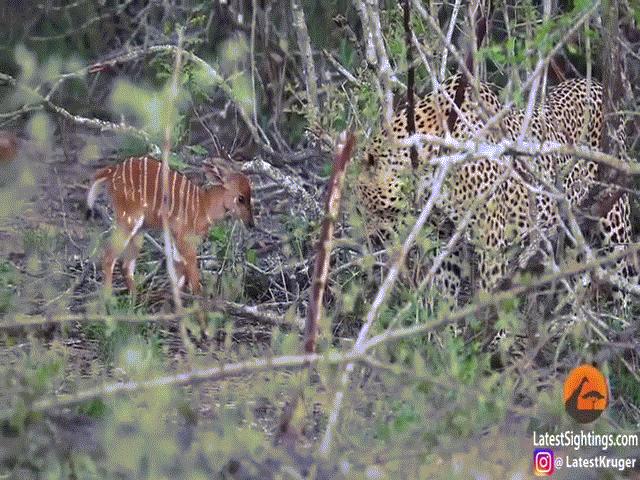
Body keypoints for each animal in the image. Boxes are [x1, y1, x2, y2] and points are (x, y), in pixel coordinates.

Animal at [85, 157, 255, 292]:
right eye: (241, 198)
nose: (251, 224)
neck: (203, 205)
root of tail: (112, 171)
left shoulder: (175, 236)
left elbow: (178, 269)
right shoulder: (184, 237)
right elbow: (192, 274)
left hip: (140, 229)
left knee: (126, 265)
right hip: (129, 219)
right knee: (109, 256)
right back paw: (109, 301)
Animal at [356, 70, 636, 312]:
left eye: (364, 205)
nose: (369, 238)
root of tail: (597, 85)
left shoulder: (490, 236)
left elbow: (490, 293)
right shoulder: (445, 235)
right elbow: (445, 288)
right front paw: (443, 332)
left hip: (614, 218)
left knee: (625, 273)